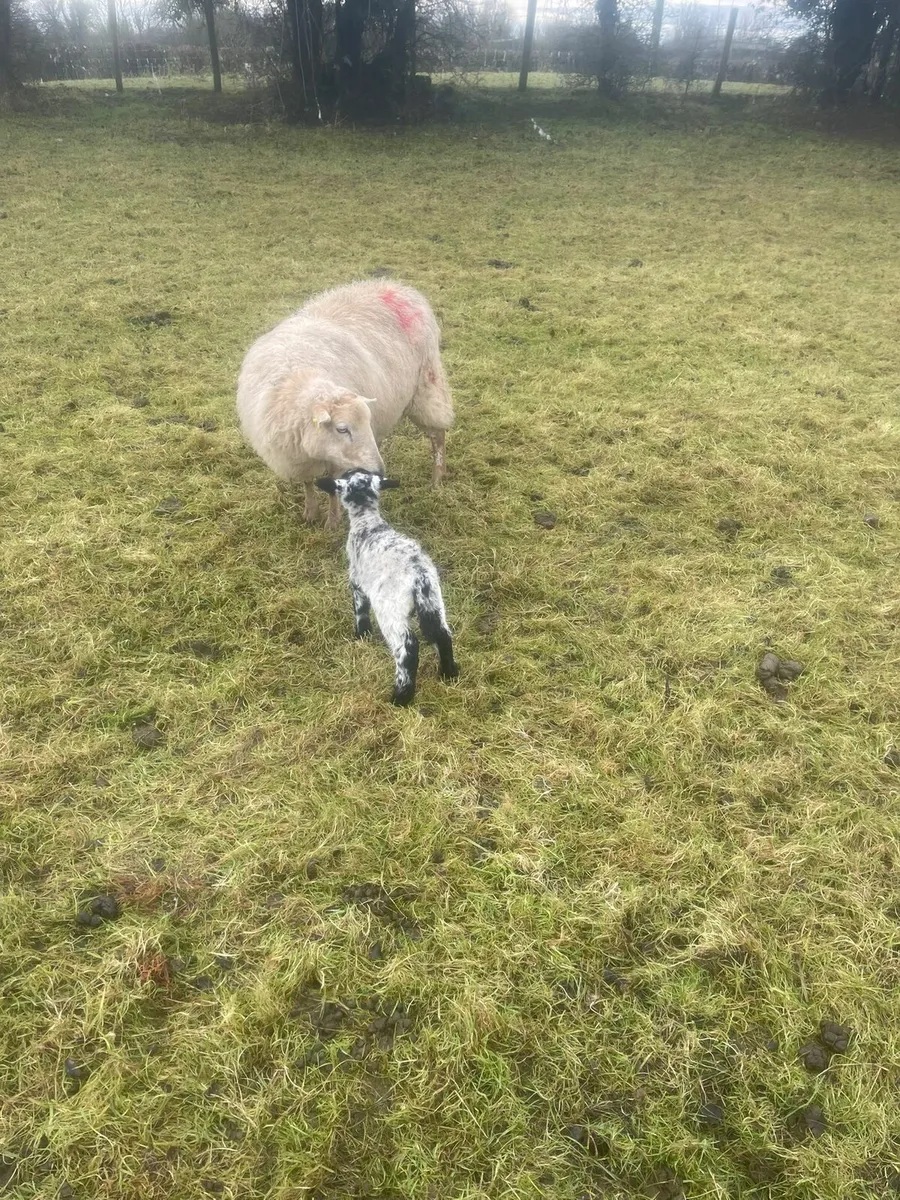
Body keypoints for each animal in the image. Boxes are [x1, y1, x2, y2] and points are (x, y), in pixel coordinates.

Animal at [236, 280, 454, 530]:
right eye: (342, 429)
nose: (380, 470)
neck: (298, 377)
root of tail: (399, 287)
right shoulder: (299, 459)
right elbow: (308, 484)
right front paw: (310, 513)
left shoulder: (336, 459)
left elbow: (332, 490)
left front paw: (332, 522)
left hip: (426, 384)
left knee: (437, 434)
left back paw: (438, 477)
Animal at [315, 470, 459, 706]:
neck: (368, 523)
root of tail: (418, 574)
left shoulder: (357, 581)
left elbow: (360, 611)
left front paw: (361, 634)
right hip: (434, 601)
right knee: (442, 634)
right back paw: (449, 673)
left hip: (390, 609)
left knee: (407, 648)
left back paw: (400, 697)